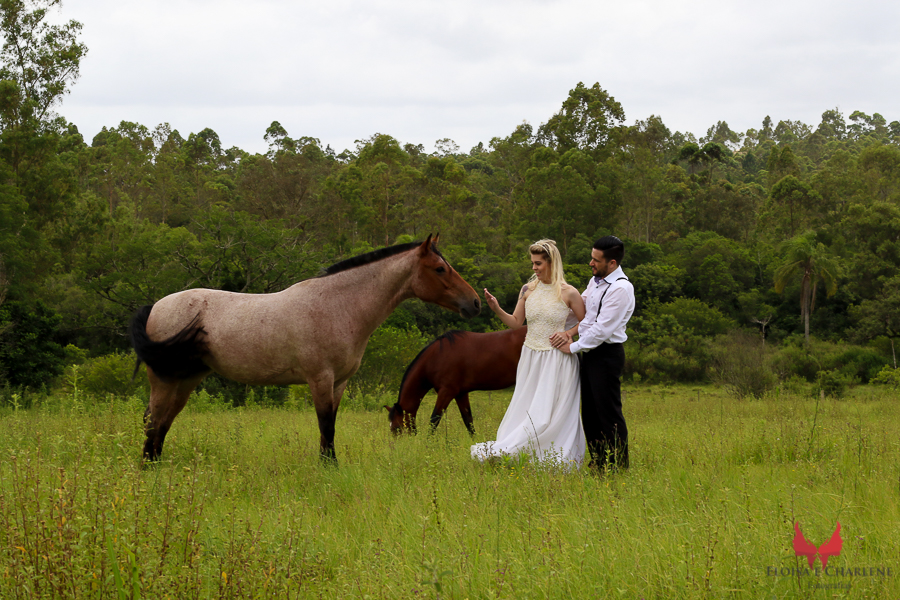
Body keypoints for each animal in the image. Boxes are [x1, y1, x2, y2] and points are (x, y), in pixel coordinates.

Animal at [129, 235, 481, 463]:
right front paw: (328, 467)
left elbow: (332, 426)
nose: (475, 303)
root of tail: (156, 306)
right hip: (165, 379)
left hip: (186, 379)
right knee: (154, 418)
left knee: (164, 420)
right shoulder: (320, 378)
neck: (338, 306)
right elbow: (325, 425)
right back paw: (149, 467)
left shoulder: (339, 383)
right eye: (440, 269)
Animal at [386, 326, 526, 434]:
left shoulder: (446, 392)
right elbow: (468, 421)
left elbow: (434, 420)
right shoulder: (460, 394)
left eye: (397, 428)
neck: (436, 357)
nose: (397, 448)